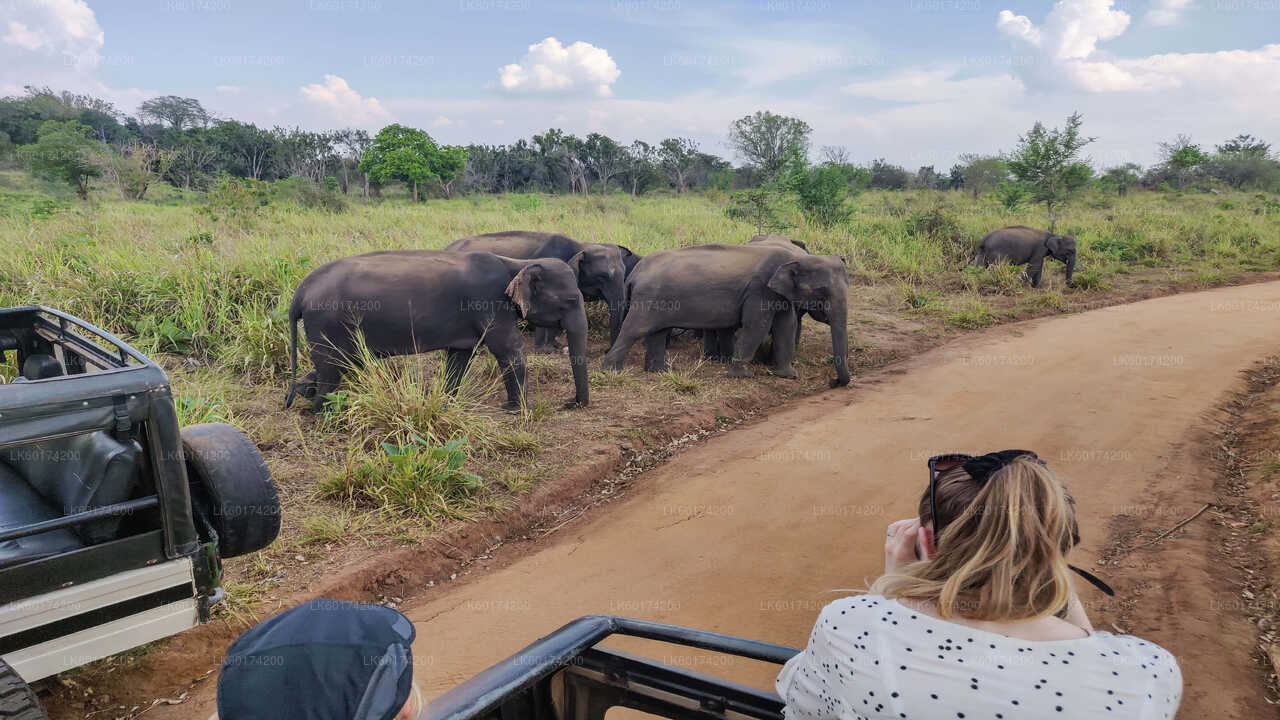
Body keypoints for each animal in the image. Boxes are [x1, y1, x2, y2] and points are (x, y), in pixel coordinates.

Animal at [285, 251, 588, 409]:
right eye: (571, 301)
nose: (570, 403)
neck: (516, 263)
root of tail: (300, 292)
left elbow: (460, 356)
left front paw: (446, 402)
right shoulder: (488, 303)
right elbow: (509, 352)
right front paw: (520, 409)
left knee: (339, 364)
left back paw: (303, 392)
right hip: (327, 322)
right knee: (332, 367)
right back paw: (324, 411)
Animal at [448, 230, 640, 351]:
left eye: (624, 272)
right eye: (603, 276)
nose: (605, 350)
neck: (580, 245)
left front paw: (555, 345)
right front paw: (547, 349)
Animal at [599, 242, 849, 386]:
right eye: (821, 291)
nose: (833, 382)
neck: (797, 257)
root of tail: (635, 273)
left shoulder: (780, 294)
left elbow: (786, 327)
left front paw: (787, 376)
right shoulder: (760, 290)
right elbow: (756, 327)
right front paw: (741, 376)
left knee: (658, 332)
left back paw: (660, 371)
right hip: (648, 299)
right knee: (634, 329)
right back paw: (610, 371)